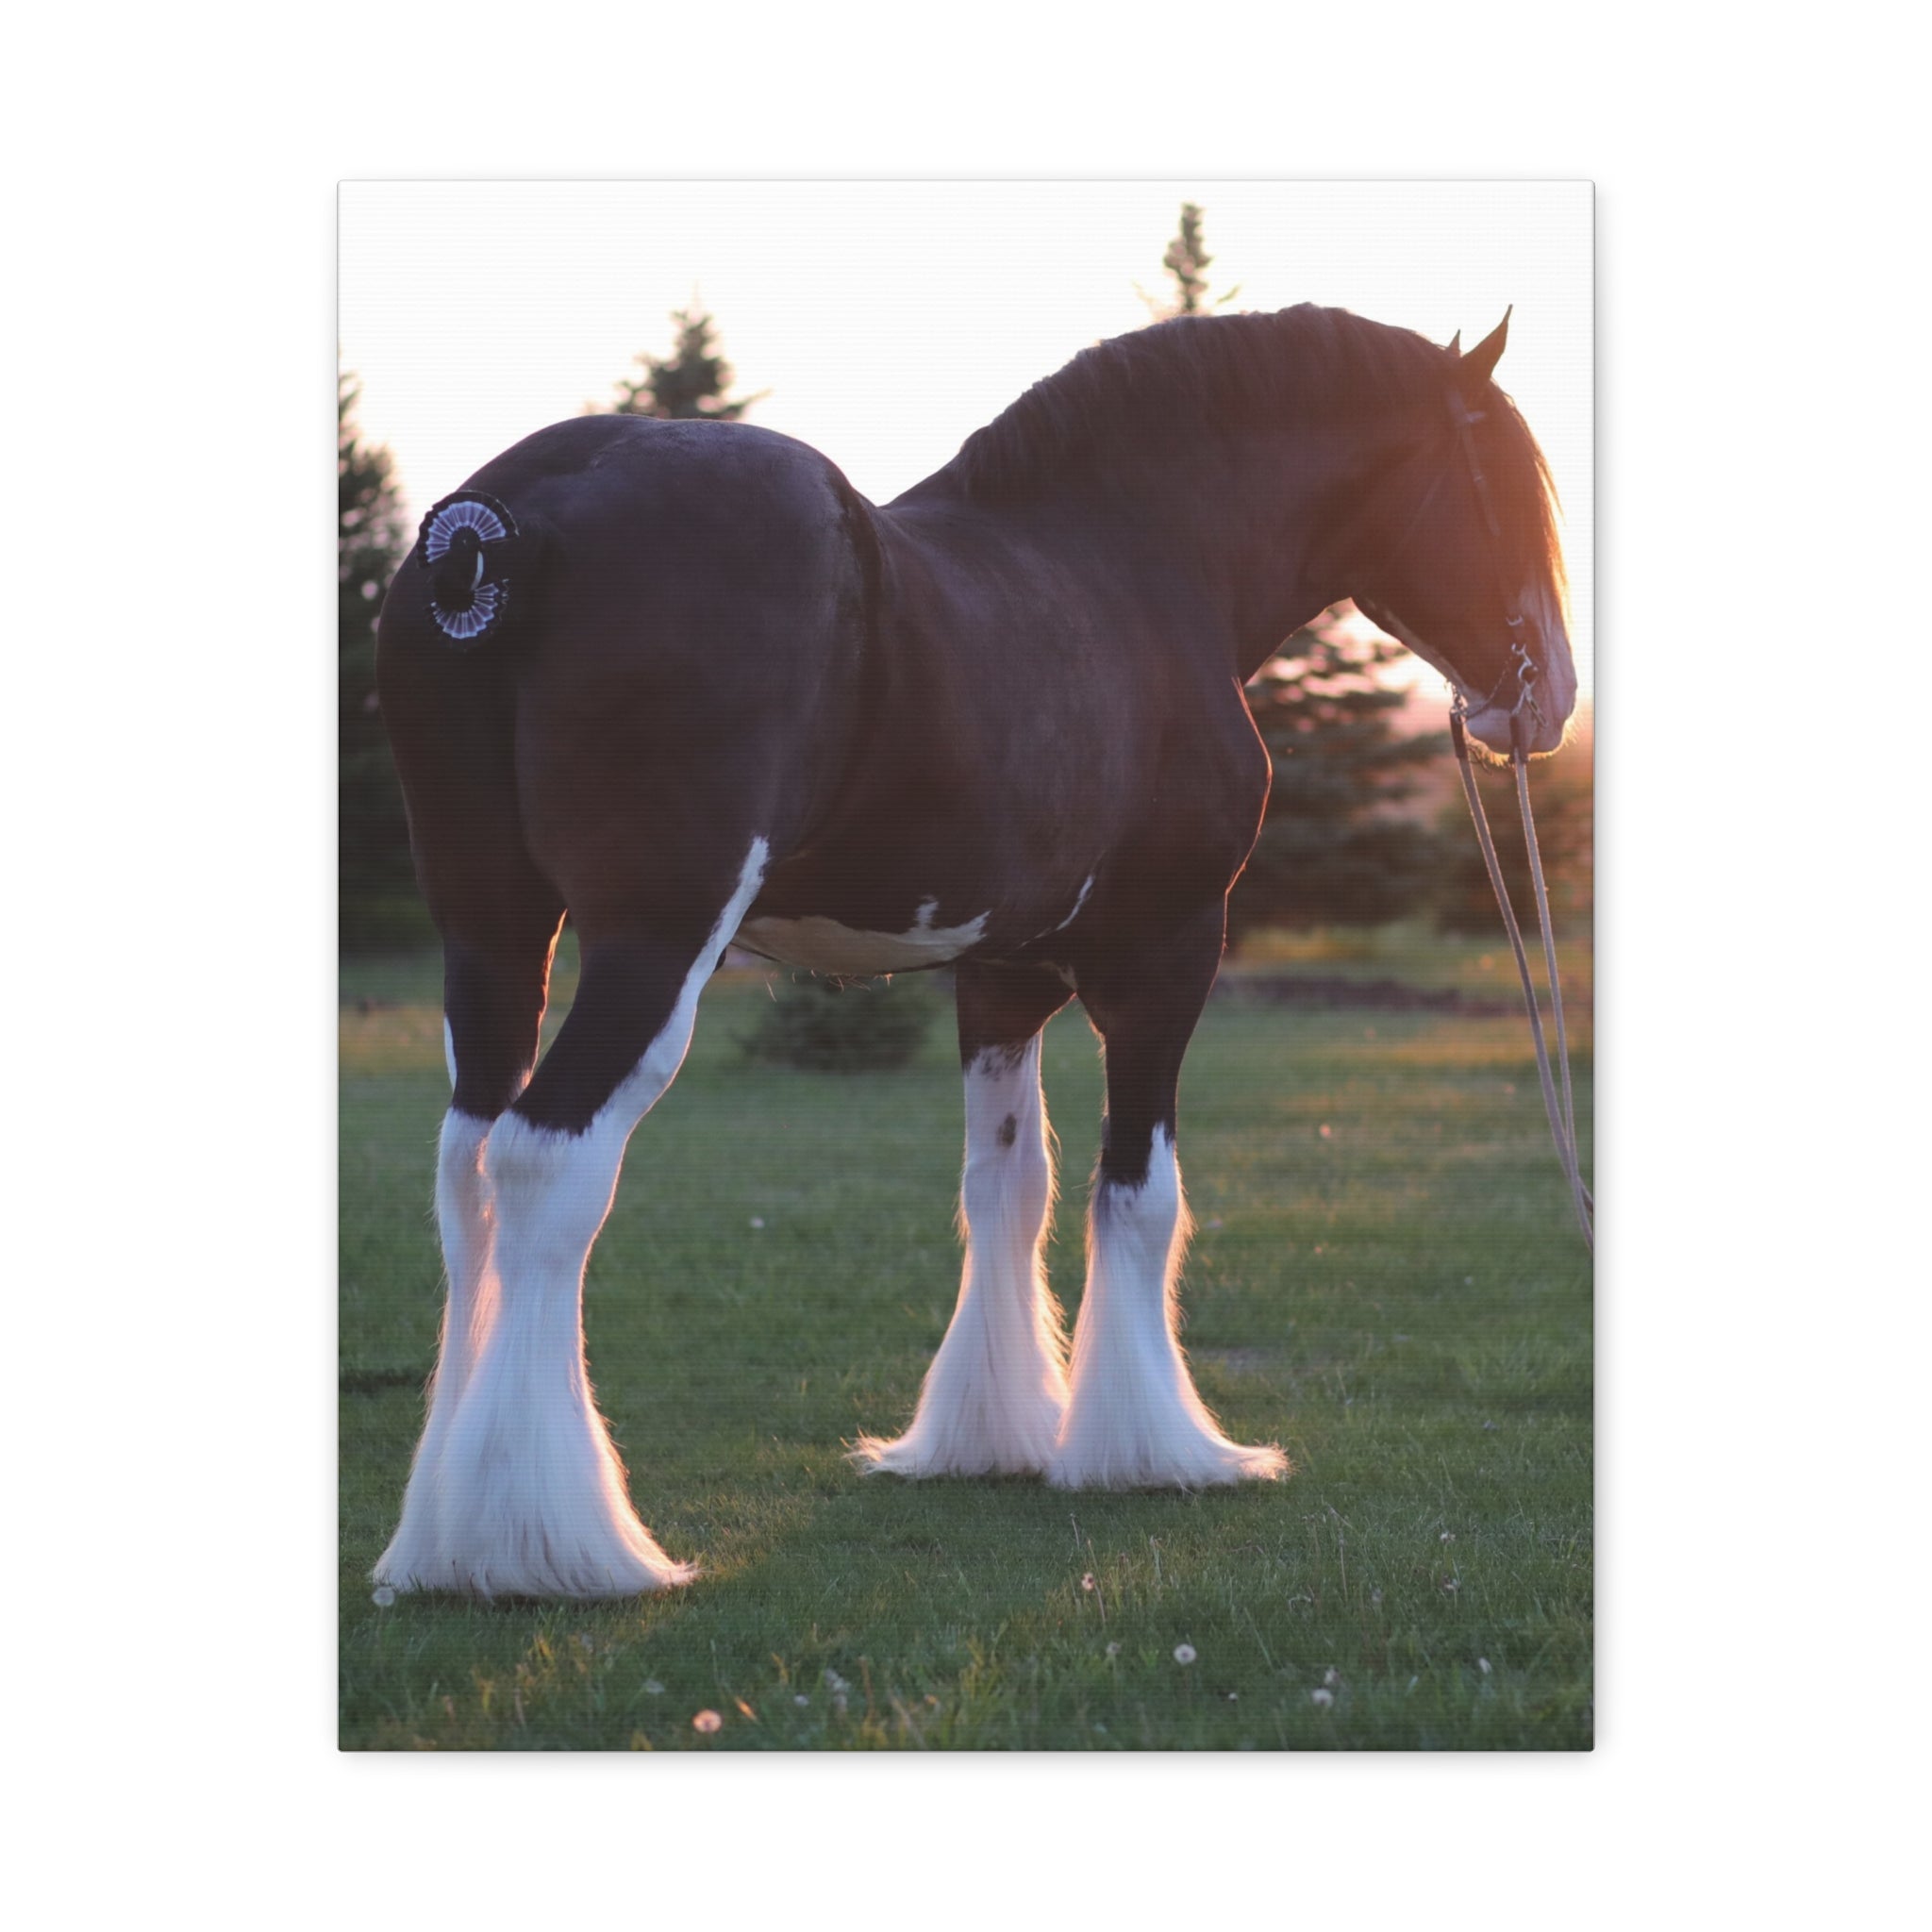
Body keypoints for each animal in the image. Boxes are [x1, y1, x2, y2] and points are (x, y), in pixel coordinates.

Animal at [370, 302, 1576, 1600]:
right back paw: (547, 1544)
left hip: (492, 930)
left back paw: (437, 1537)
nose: (1550, 698)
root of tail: (504, 523)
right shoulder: (1166, 953)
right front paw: (1150, 1449)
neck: (1131, 565)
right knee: (548, 1162)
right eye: (1508, 482)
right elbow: (1137, 1193)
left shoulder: (1000, 974)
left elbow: (1006, 1184)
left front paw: (989, 1435)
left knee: (466, 1166)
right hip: (653, 943)